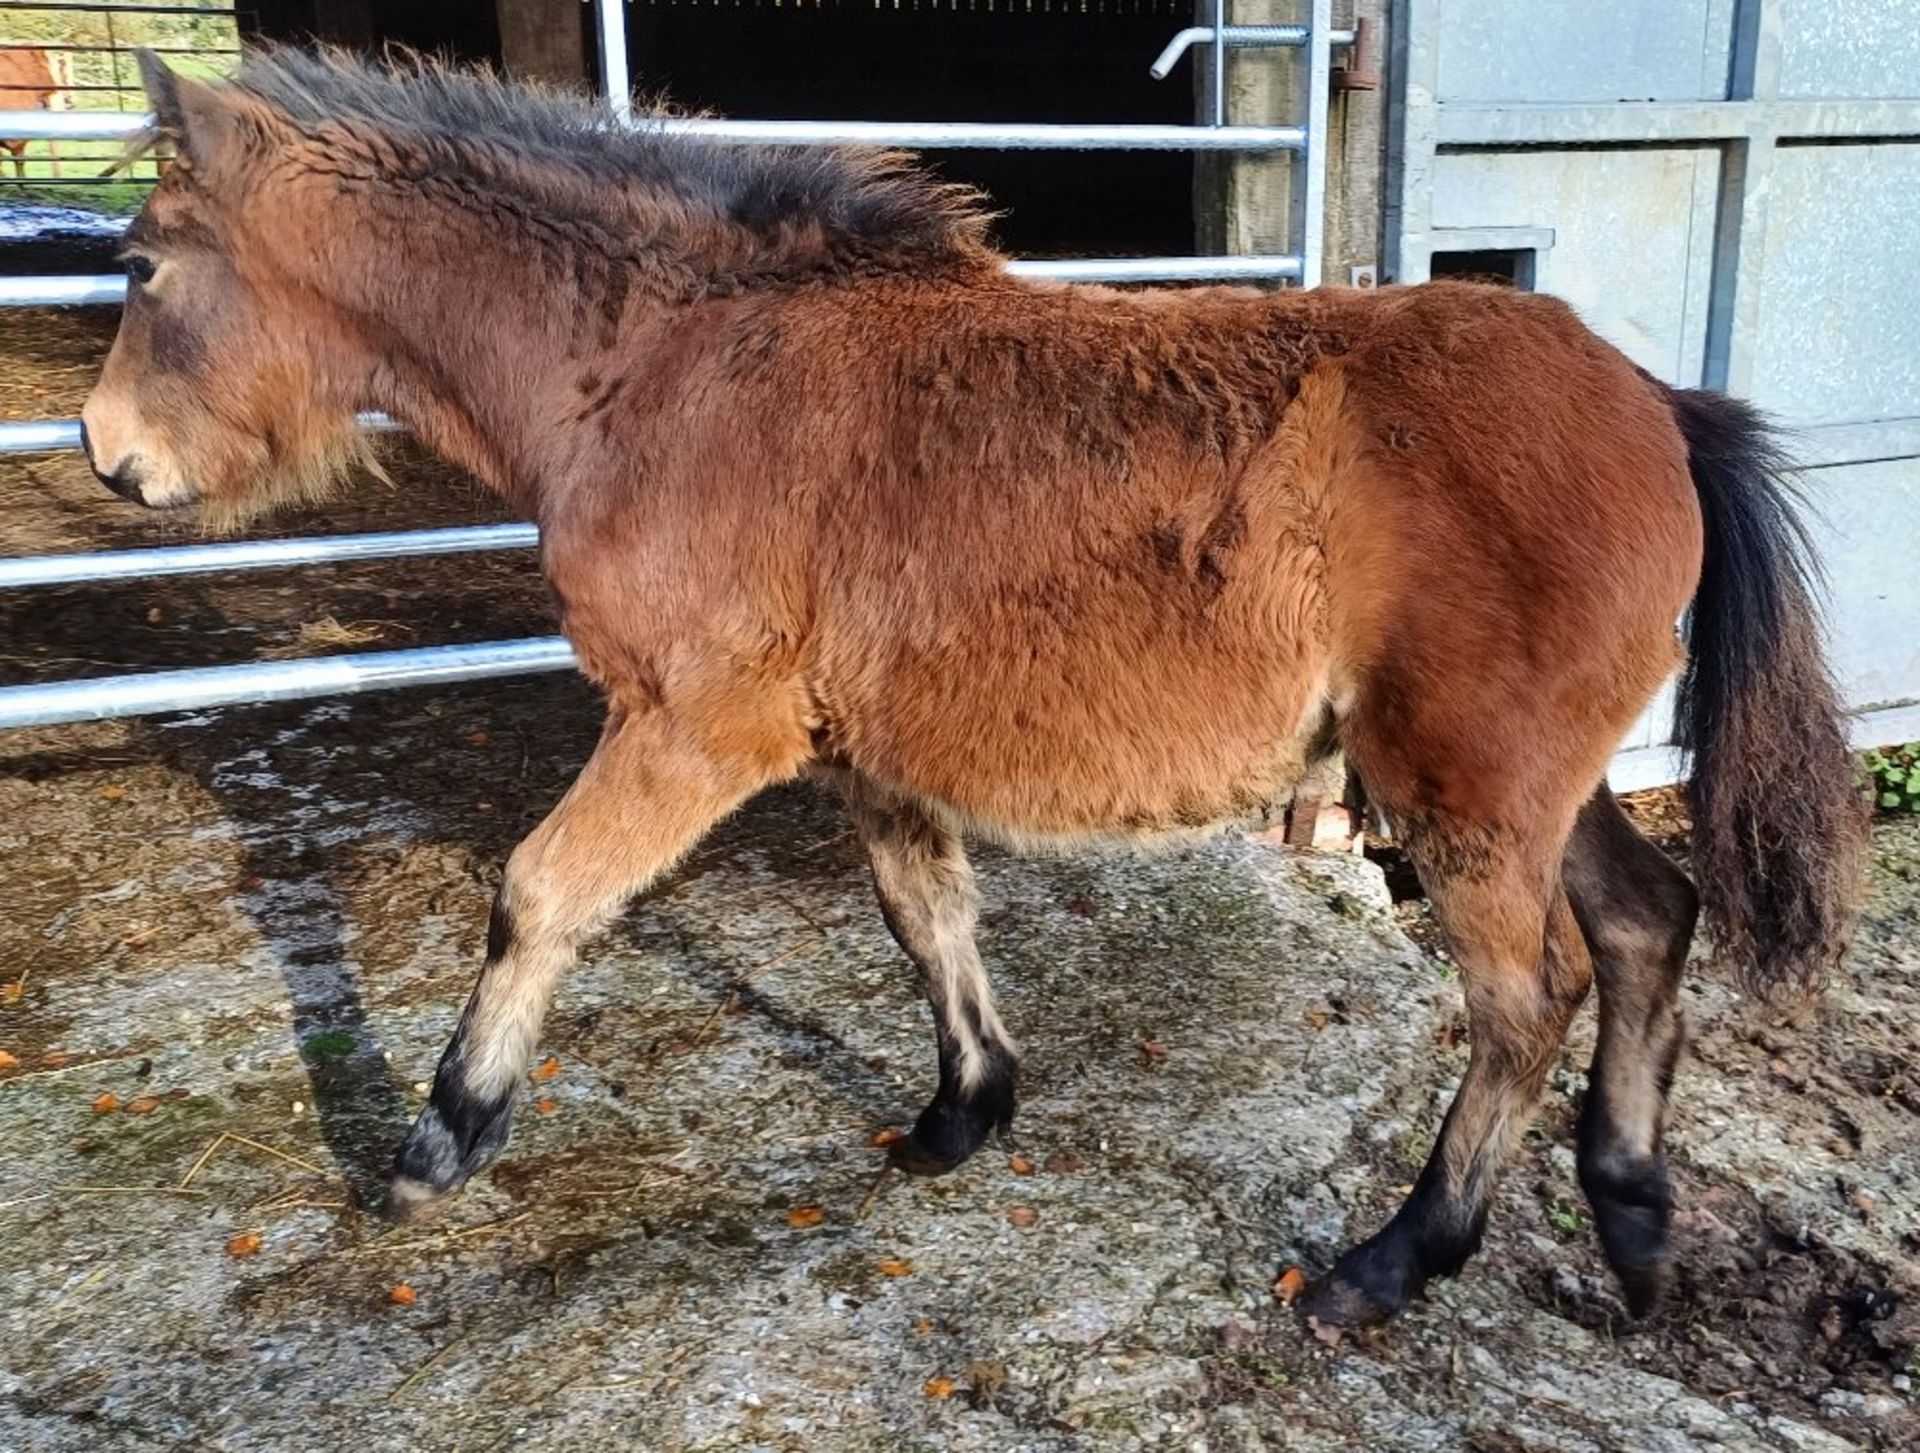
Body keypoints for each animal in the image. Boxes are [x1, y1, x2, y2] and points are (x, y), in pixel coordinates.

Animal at [79, 48, 1866, 1332]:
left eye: (146, 268)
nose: (107, 456)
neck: (671, 363)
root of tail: (1660, 403)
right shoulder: (859, 746)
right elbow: (924, 912)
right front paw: (964, 1114)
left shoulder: (694, 724)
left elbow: (537, 897)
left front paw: (437, 1145)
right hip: (1533, 781)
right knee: (1646, 923)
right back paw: (1631, 1223)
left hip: (1466, 790)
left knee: (1527, 998)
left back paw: (1391, 1262)